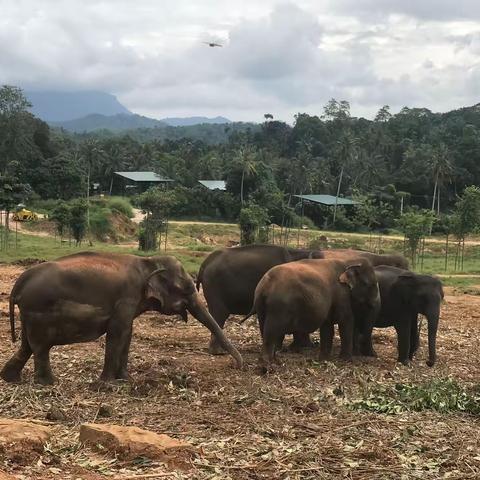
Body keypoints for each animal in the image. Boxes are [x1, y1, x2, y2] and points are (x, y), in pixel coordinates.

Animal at [0, 249, 244, 384]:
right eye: (185, 289)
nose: (237, 366)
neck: (147, 261)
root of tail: (19, 283)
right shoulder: (127, 297)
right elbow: (117, 332)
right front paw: (108, 383)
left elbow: (128, 333)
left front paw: (126, 379)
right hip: (39, 311)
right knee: (40, 347)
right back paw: (49, 383)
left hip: (30, 313)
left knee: (27, 345)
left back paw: (10, 378)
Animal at [246, 258, 380, 368]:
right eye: (371, 284)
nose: (374, 355)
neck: (349, 262)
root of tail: (264, 285)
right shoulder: (342, 295)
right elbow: (346, 321)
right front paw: (346, 360)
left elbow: (327, 326)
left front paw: (324, 359)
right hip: (279, 306)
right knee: (272, 330)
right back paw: (267, 366)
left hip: (262, 307)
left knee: (265, 329)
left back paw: (274, 361)